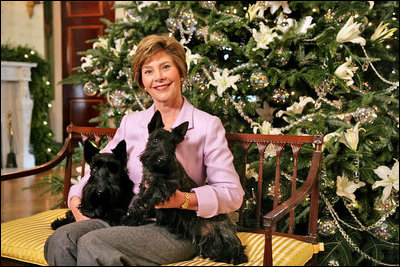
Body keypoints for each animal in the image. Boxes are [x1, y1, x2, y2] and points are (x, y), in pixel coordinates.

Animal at [122, 111, 247, 266]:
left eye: (173, 144)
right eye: (155, 139)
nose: (162, 159)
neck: (156, 170)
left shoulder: (165, 185)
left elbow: (151, 193)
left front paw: (140, 205)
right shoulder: (144, 186)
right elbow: (141, 201)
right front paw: (131, 218)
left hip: (223, 234)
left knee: (237, 248)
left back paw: (230, 256)